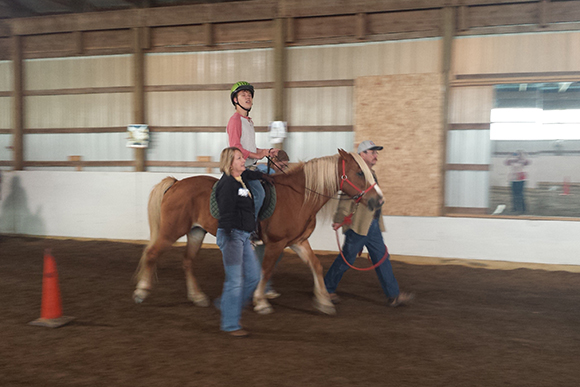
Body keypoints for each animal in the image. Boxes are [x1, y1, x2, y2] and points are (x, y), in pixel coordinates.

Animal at [134, 149, 382, 316]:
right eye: (359, 172)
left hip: (196, 231)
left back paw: (197, 297)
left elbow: (316, 265)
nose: (378, 199)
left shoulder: (298, 242)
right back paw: (142, 291)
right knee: (152, 254)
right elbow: (266, 269)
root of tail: (176, 184)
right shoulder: (276, 243)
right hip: (171, 231)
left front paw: (324, 302)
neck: (299, 196)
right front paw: (261, 302)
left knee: (187, 261)